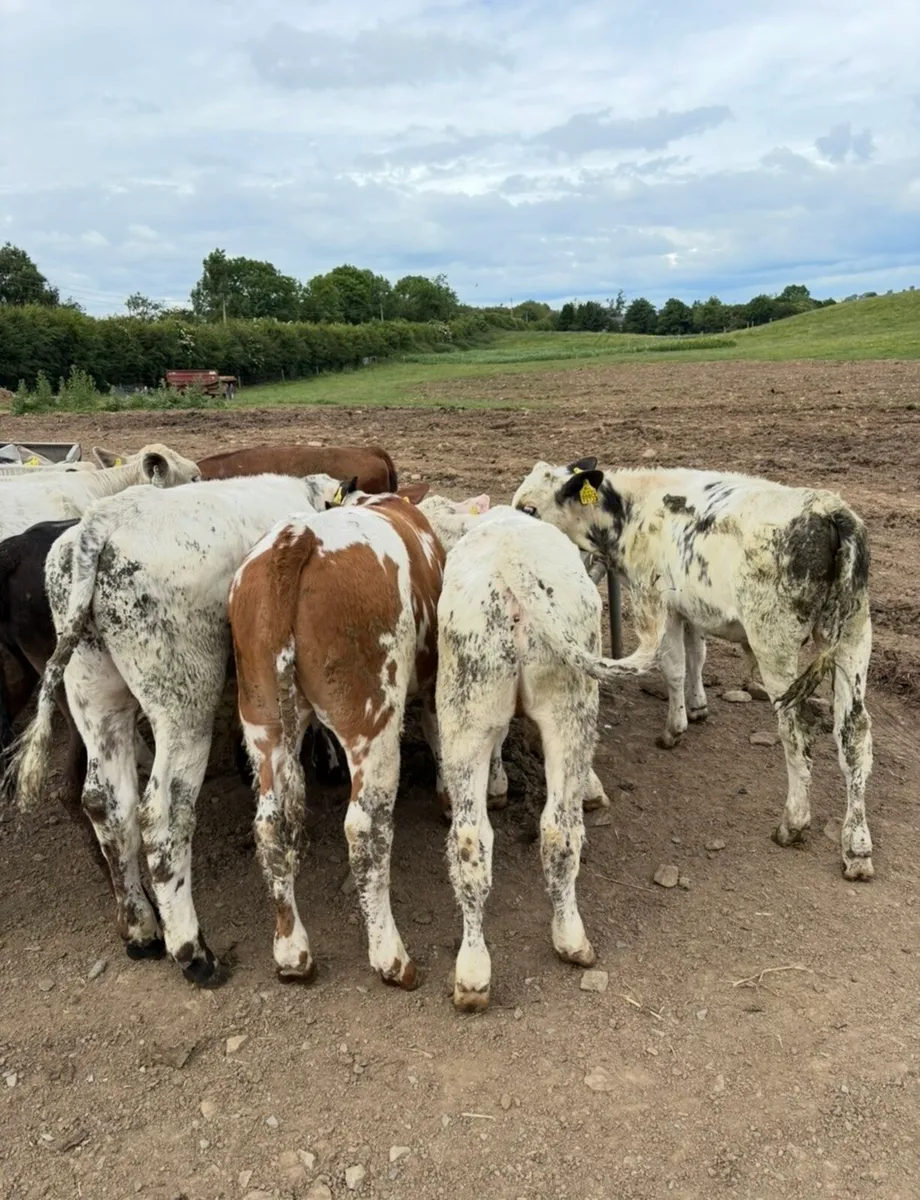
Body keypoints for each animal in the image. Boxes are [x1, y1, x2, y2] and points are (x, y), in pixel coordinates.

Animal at [13, 472, 345, 986]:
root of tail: (99, 526)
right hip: (183, 703)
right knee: (162, 816)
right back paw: (193, 951)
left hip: (95, 694)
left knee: (104, 803)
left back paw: (140, 930)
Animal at [227, 480, 495, 987]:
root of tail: (296, 541)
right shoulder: (433, 676)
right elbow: (436, 732)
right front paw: (446, 796)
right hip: (372, 722)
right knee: (366, 831)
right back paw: (391, 957)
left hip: (262, 720)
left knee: (270, 827)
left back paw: (292, 952)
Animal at [512, 458, 874, 882]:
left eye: (530, 509)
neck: (629, 509)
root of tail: (828, 510)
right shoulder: (692, 608)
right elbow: (696, 653)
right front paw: (698, 707)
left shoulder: (657, 604)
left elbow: (673, 667)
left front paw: (675, 727)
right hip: (853, 636)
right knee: (854, 735)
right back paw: (857, 846)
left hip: (776, 642)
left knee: (796, 730)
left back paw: (794, 822)